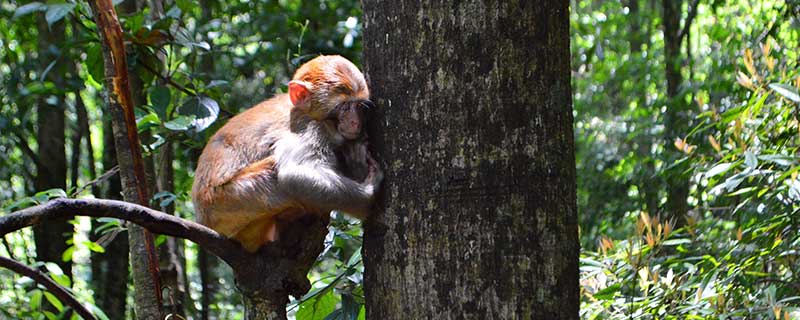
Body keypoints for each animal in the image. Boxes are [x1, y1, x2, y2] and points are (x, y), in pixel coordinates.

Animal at [192, 55, 382, 252]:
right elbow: (293, 173)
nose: (354, 122)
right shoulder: (310, 128)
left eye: (359, 106)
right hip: (229, 202)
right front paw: (370, 194)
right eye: (344, 107)